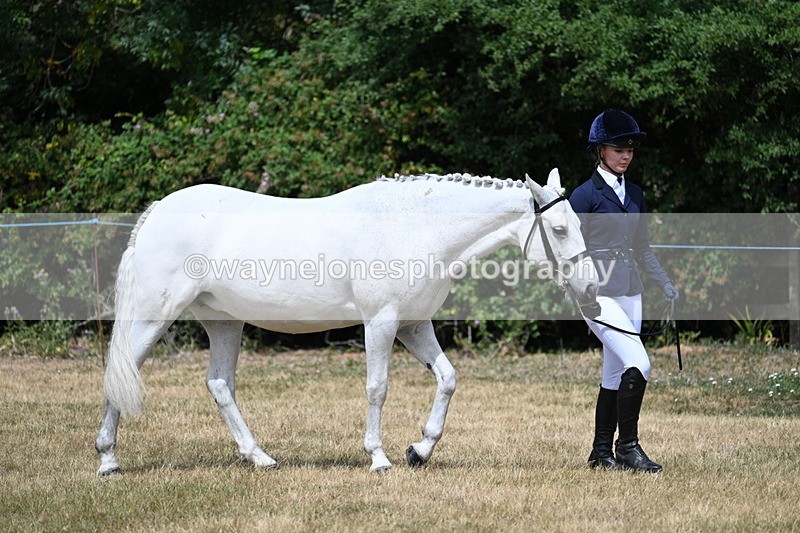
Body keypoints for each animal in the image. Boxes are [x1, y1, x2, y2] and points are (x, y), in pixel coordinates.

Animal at [95, 168, 598, 475]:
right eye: (558, 230)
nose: (592, 289)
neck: (416, 227)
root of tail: (156, 212)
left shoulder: (414, 325)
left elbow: (448, 378)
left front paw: (420, 450)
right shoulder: (381, 324)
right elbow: (377, 388)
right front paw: (378, 458)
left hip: (224, 323)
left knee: (220, 385)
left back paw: (260, 457)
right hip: (154, 317)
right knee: (122, 374)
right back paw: (108, 461)